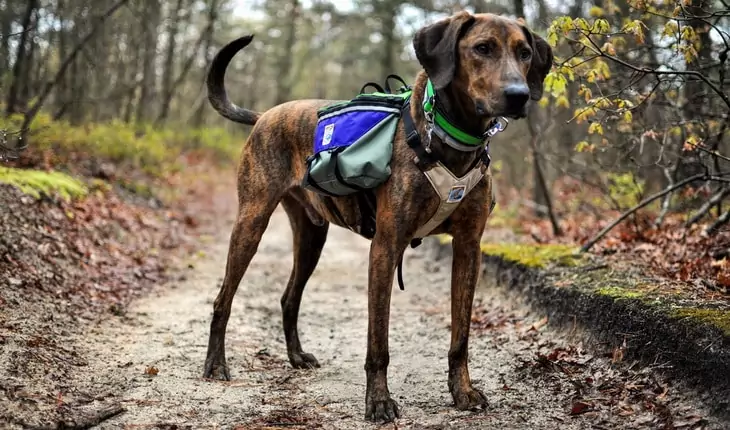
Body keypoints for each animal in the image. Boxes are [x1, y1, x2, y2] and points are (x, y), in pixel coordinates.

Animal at [202, 10, 548, 424]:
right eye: (482, 48)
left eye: (525, 52)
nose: (519, 95)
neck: (450, 137)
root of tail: (265, 115)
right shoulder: (385, 248)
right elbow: (378, 343)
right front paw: (379, 401)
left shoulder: (469, 249)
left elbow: (461, 337)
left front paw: (462, 391)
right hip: (251, 223)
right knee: (223, 299)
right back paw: (215, 364)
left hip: (312, 237)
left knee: (288, 298)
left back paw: (296, 355)